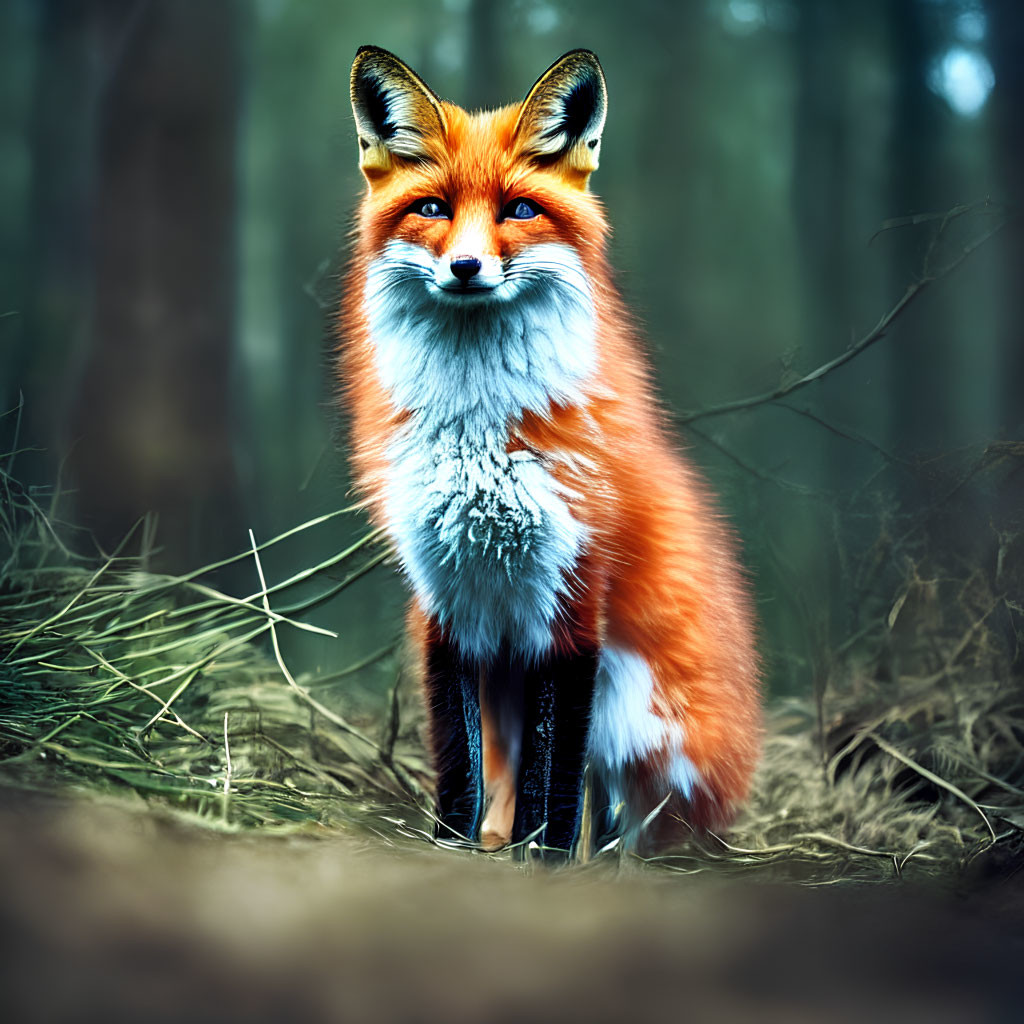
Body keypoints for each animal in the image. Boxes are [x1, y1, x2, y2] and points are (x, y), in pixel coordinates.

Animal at [337, 49, 761, 864]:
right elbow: (460, 760)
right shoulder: (444, 600)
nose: (466, 267)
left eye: (519, 211)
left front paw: (552, 861)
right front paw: (455, 848)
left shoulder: (572, 601)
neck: (479, 437)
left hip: (634, 708)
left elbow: (557, 773)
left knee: (622, 801)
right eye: (432, 208)